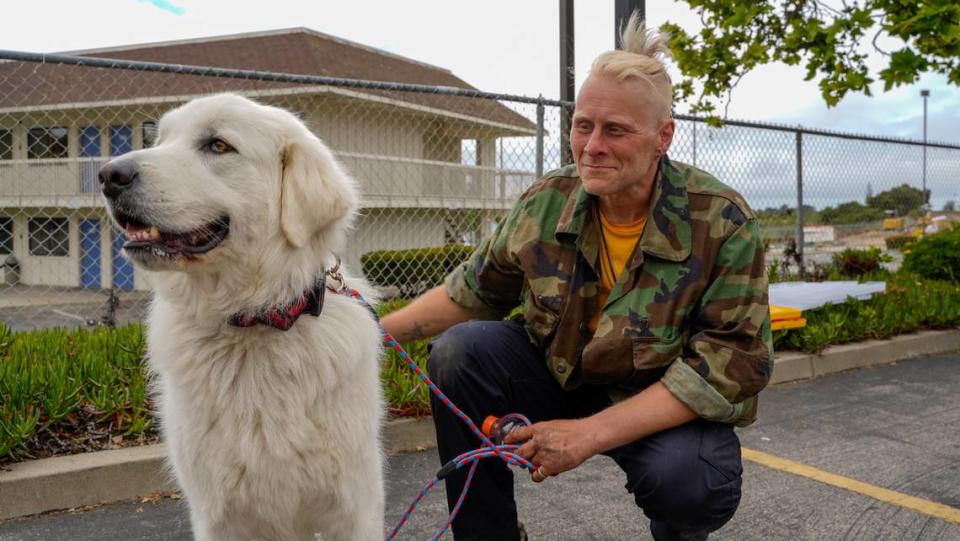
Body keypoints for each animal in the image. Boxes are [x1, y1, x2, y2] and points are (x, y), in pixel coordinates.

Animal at [97, 94, 382, 540]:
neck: (251, 323)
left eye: (218, 145)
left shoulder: (355, 510)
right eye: (161, 139)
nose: (109, 175)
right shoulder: (217, 515)